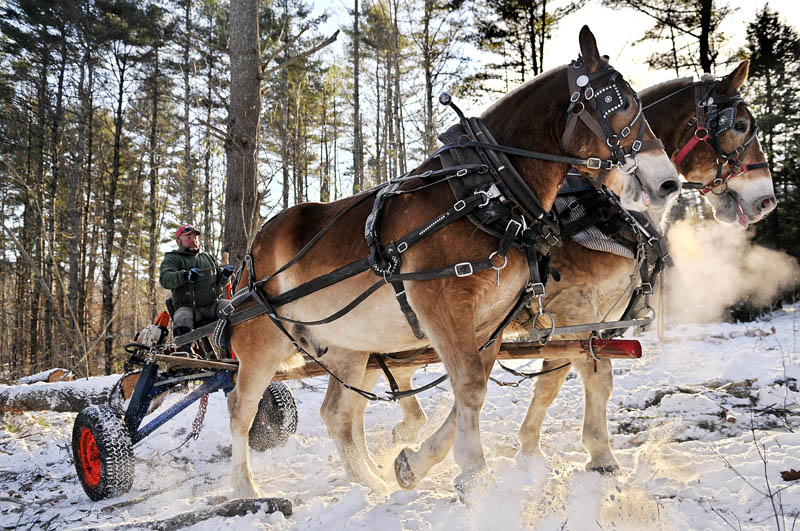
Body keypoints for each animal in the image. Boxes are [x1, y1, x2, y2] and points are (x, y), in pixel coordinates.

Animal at [228, 25, 680, 498]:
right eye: (621, 103)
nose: (667, 182)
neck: (487, 192)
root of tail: (251, 251)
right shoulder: (447, 305)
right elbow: (474, 385)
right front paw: (473, 470)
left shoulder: (492, 320)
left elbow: (480, 387)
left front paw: (417, 463)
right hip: (262, 340)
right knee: (242, 408)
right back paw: (246, 489)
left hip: (352, 344)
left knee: (338, 413)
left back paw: (370, 483)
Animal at [350, 59, 776, 486]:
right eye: (740, 125)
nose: (767, 201)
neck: (606, 208)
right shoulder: (573, 305)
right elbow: (593, 375)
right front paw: (601, 454)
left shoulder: (575, 320)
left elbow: (547, 383)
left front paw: (525, 449)